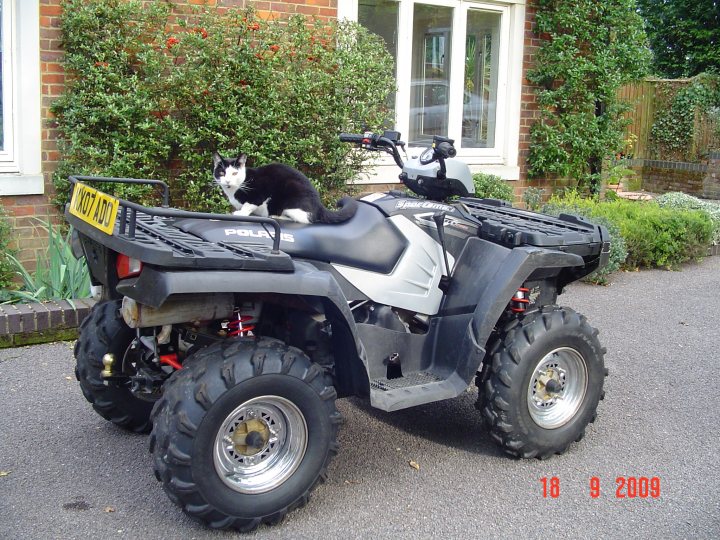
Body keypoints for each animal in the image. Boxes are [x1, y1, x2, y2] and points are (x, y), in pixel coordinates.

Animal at [214, 153, 360, 225]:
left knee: (304, 219)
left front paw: (241, 213)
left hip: (291, 199)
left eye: (234, 173)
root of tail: (319, 205)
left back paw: (276, 216)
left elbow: (248, 205)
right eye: (222, 173)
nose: (227, 181)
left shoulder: (260, 192)